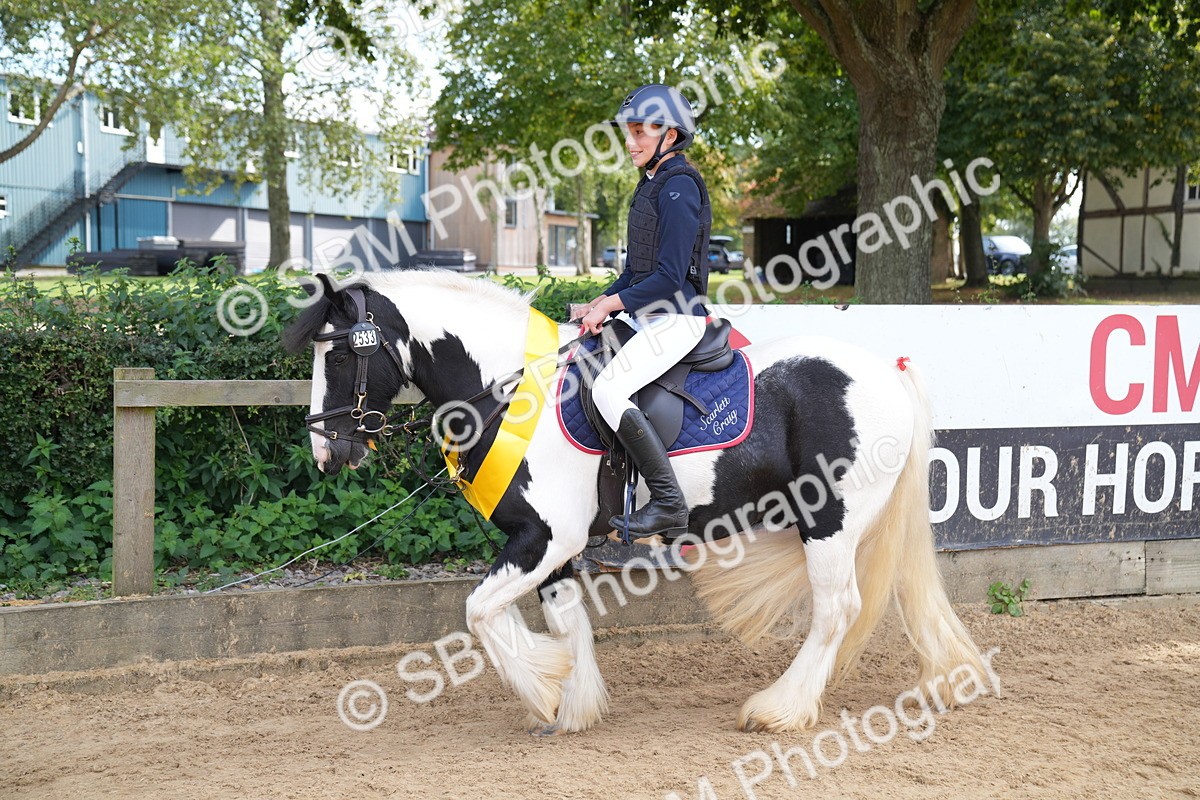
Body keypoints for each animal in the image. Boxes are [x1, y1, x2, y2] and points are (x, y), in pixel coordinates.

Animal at [283, 268, 985, 734]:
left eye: (339, 354)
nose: (325, 451)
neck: (512, 393)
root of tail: (885, 370)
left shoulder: (546, 539)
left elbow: (479, 610)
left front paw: (543, 688)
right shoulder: (548, 547)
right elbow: (568, 623)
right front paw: (571, 707)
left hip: (829, 519)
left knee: (837, 609)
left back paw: (778, 710)